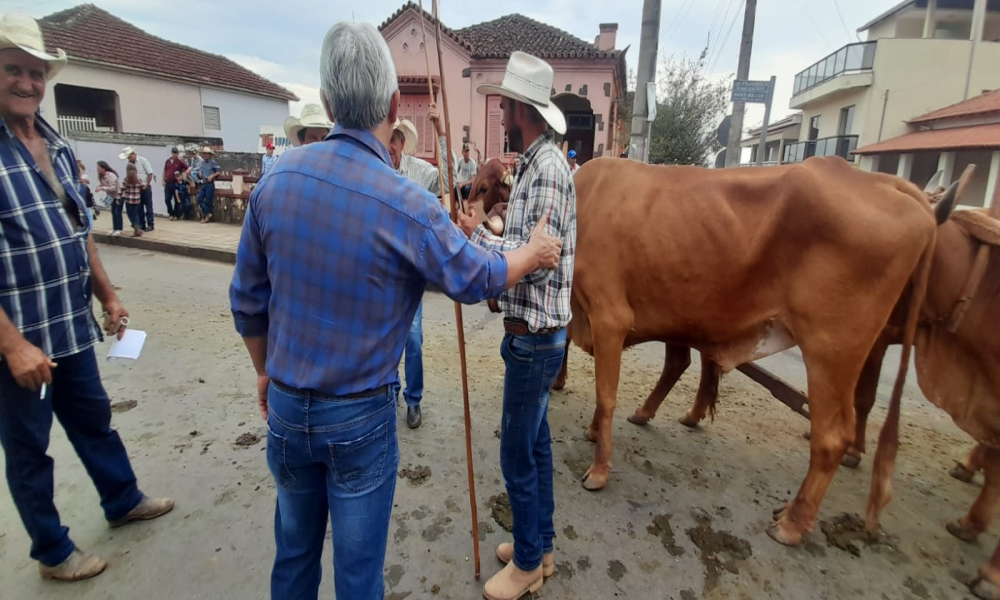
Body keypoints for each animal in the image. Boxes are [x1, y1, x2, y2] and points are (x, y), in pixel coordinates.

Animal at [568, 156, 940, 548]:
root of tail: (883, 182)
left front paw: (599, 470)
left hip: (831, 352)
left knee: (832, 436)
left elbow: (606, 395)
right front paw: (593, 431)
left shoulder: (609, 318)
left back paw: (792, 524)